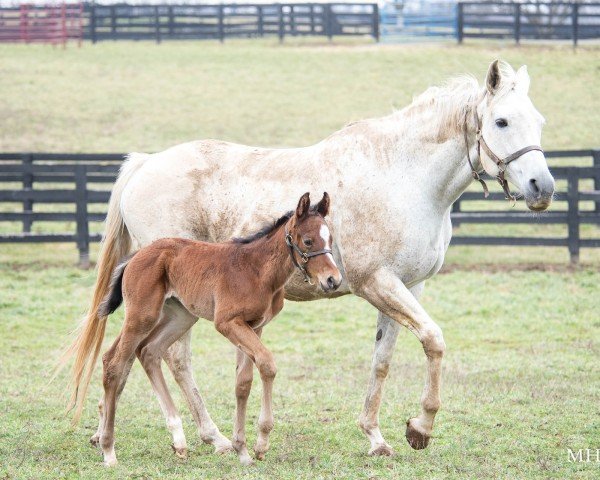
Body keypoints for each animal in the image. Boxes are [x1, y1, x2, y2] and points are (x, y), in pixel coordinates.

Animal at [87, 192, 340, 464]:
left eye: (330, 239)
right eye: (308, 240)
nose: (333, 280)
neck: (258, 270)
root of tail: (136, 255)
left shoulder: (254, 326)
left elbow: (243, 382)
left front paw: (242, 449)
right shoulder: (228, 323)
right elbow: (267, 365)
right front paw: (260, 443)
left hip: (180, 316)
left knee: (147, 351)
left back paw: (179, 440)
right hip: (142, 316)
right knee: (115, 362)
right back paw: (108, 450)